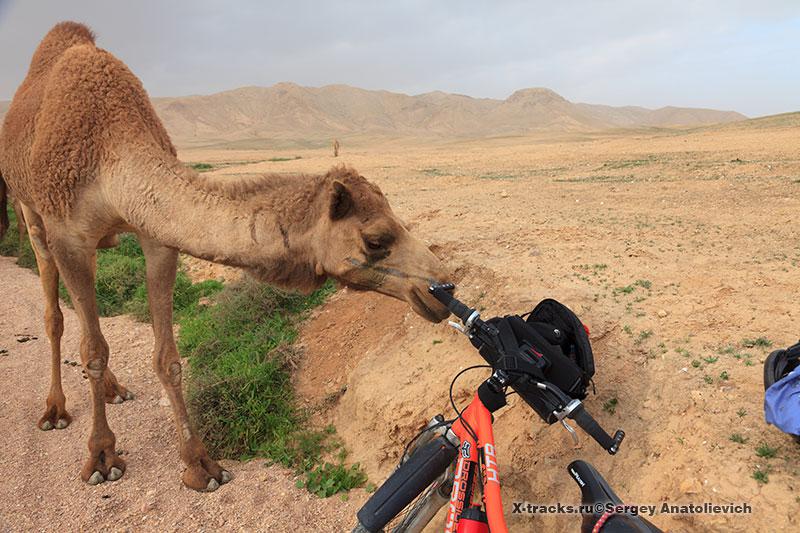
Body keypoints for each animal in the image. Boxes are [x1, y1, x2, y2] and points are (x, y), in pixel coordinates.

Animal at [0, 23, 450, 490]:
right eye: (376, 239)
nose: (442, 286)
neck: (111, 153)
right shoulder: (68, 233)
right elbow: (91, 350)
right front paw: (102, 455)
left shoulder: (157, 236)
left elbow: (167, 357)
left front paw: (200, 464)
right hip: (32, 214)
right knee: (55, 313)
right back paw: (55, 410)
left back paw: (113, 388)